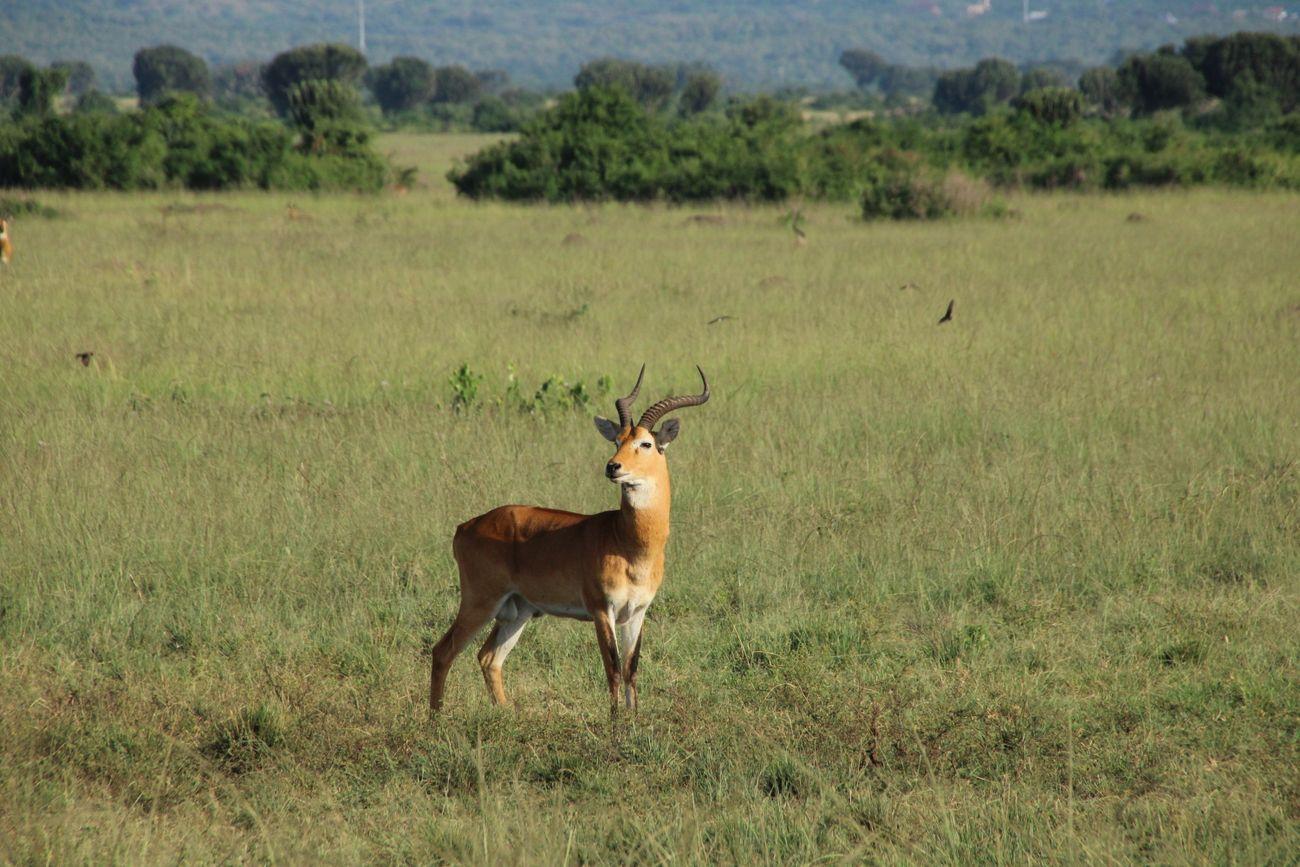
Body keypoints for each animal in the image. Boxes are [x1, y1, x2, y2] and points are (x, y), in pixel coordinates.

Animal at [428, 366, 712, 717]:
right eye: (617, 440)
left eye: (646, 443)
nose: (613, 466)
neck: (627, 543)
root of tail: (464, 526)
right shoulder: (602, 609)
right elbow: (612, 668)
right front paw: (615, 723)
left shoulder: (637, 612)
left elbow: (631, 669)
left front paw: (634, 720)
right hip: (480, 601)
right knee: (443, 652)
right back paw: (435, 720)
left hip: (518, 610)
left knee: (489, 657)